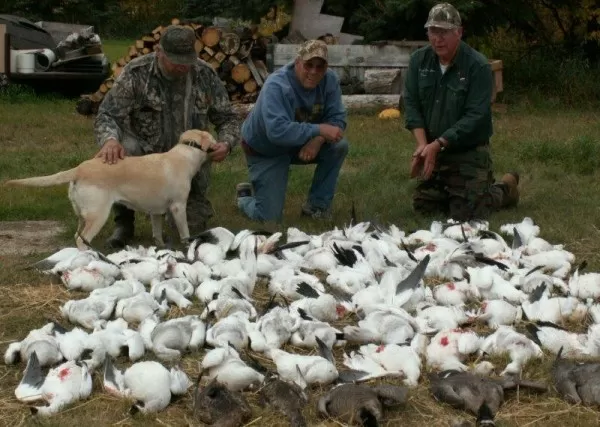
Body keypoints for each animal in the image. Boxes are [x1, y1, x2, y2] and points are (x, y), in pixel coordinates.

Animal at [5, 130, 216, 251]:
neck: (186, 153)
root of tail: (79, 169)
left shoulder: (156, 212)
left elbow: (157, 233)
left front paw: (162, 247)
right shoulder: (178, 207)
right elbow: (185, 231)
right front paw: (188, 245)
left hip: (83, 215)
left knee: (77, 236)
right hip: (98, 214)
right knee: (81, 239)